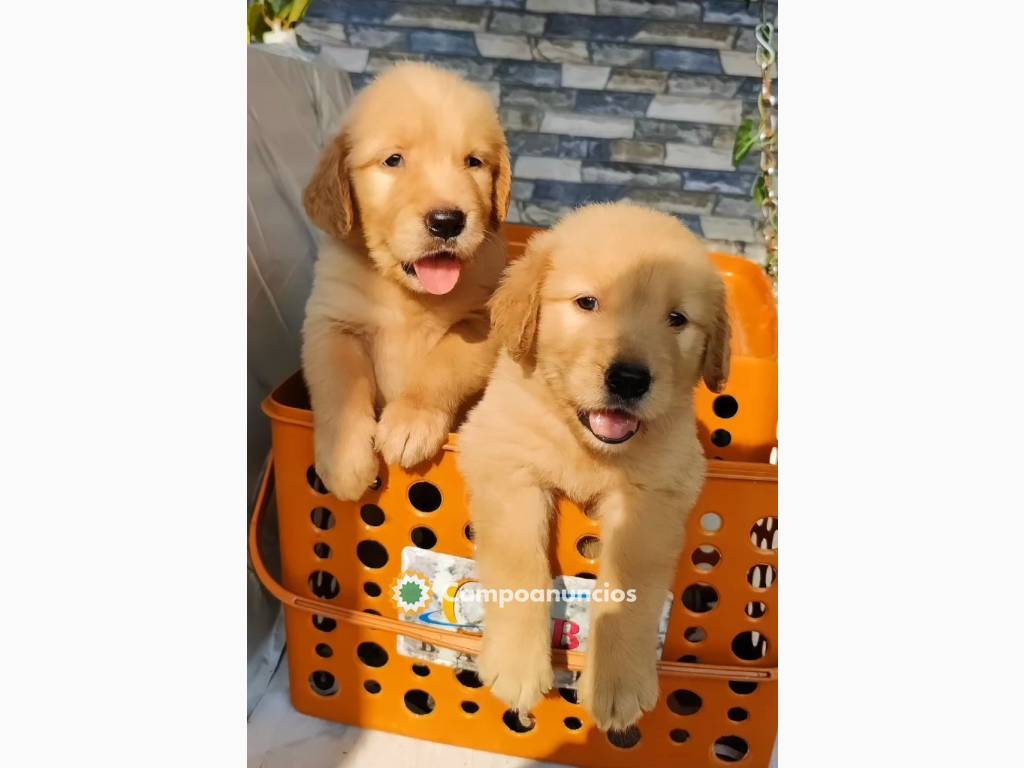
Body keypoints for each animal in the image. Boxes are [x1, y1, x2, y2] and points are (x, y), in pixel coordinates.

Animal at [301, 64, 512, 499]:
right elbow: (339, 384)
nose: (448, 222)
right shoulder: (331, 323)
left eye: (474, 162)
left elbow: (443, 362)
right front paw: (344, 461)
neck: (408, 294)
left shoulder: (482, 324)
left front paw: (410, 422)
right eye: (393, 160)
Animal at [456, 202, 729, 733]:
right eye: (587, 303)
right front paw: (517, 666)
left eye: (677, 319)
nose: (629, 379)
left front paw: (618, 683)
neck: (586, 444)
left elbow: (630, 584)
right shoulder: (503, 455)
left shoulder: (655, 492)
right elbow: (519, 563)